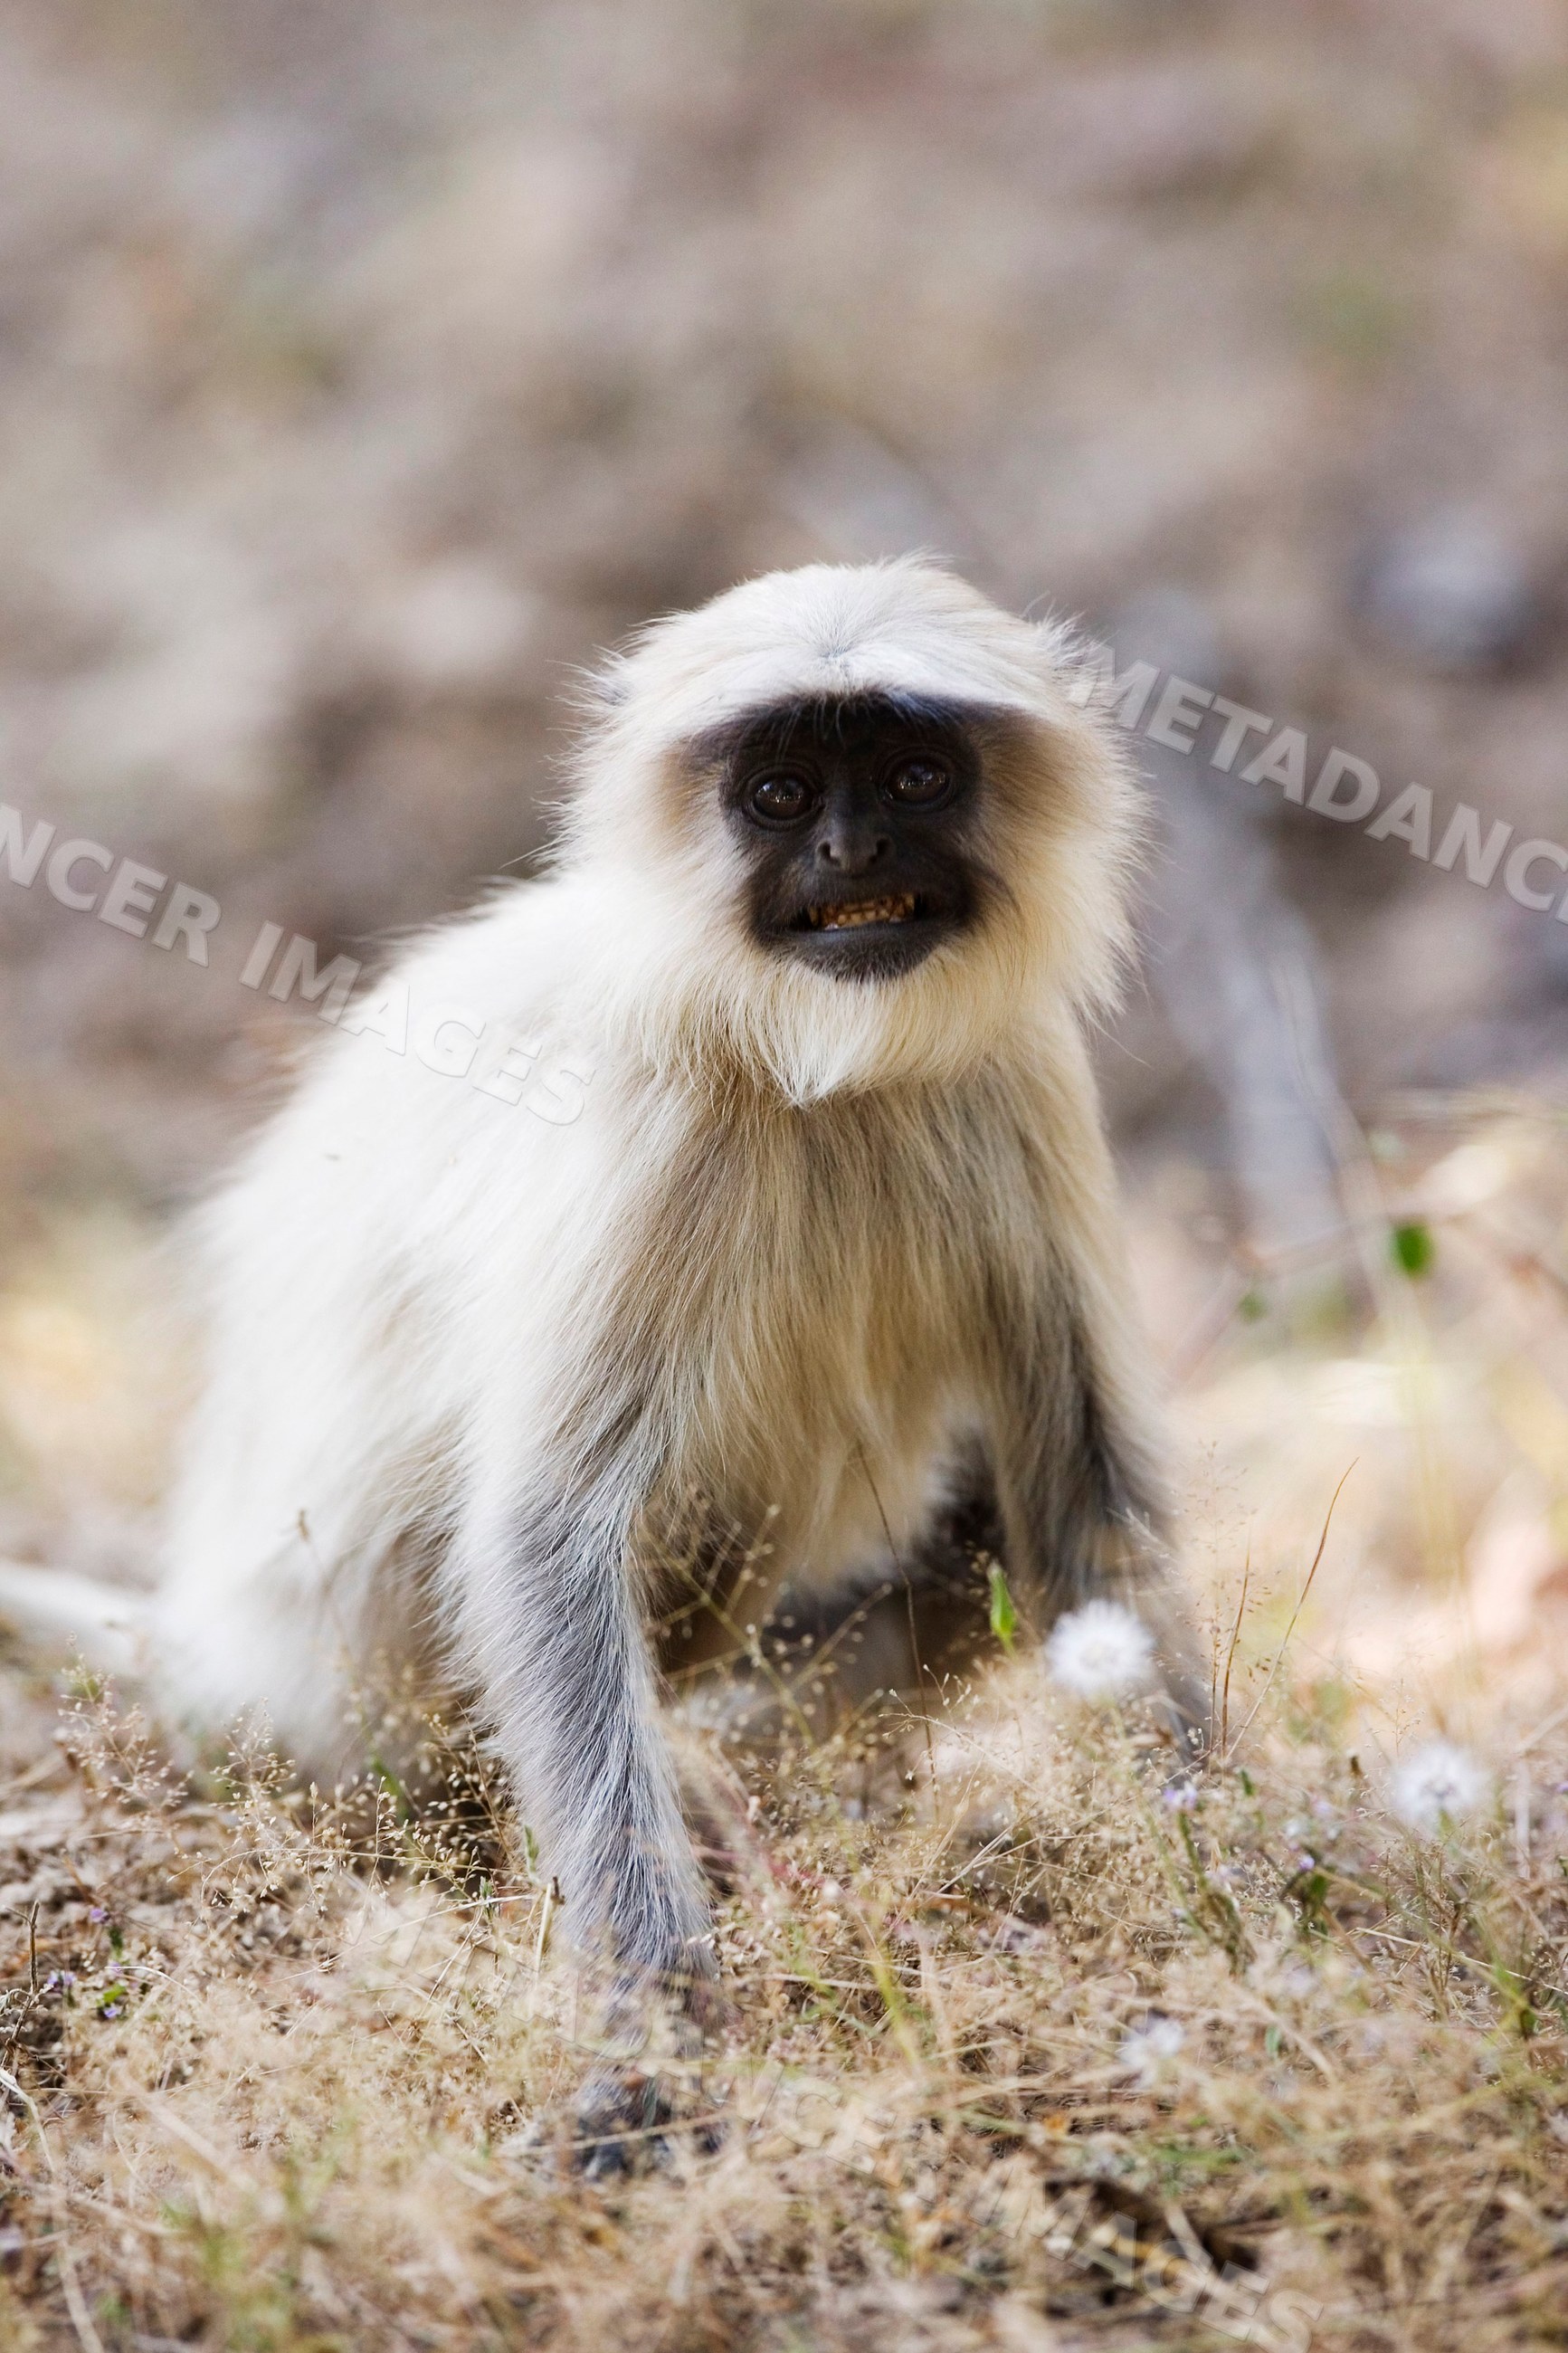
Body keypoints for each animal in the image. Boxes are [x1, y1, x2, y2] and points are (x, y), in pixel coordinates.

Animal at [0, 558, 1202, 2159]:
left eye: (912, 776)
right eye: (777, 793)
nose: (849, 847)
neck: (822, 1064)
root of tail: (219, 1648)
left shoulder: (1020, 1069)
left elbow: (1086, 1506)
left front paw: (1238, 1884)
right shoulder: (650, 1111)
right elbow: (540, 1544)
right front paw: (656, 2045)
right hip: (368, 1698)